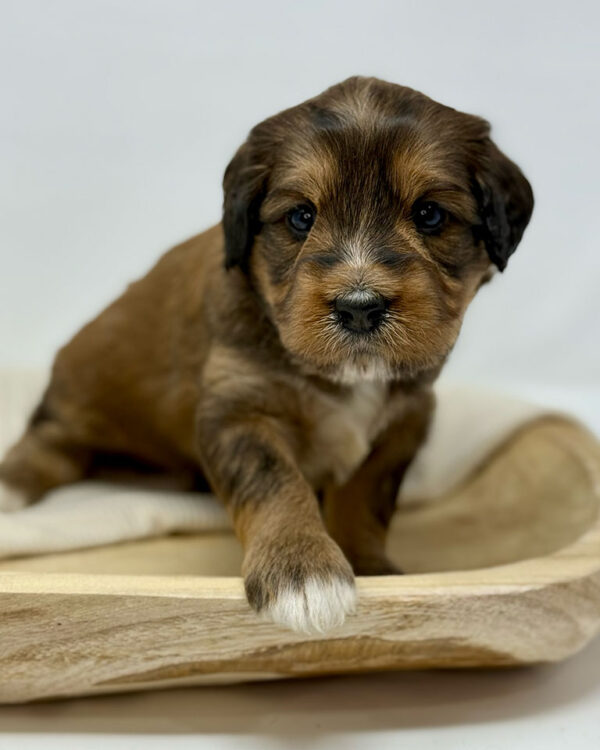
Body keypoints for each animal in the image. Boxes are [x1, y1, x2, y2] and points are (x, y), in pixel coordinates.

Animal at [0, 78, 536, 636]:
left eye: (430, 214)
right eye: (301, 217)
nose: (359, 307)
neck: (343, 377)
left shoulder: (404, 421)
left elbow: (365, 499)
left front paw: (368, 565)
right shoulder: (239, 409)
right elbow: (275, 483)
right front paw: (303, 572)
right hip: (79, 402)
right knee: (50, 443)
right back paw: (10, 491)